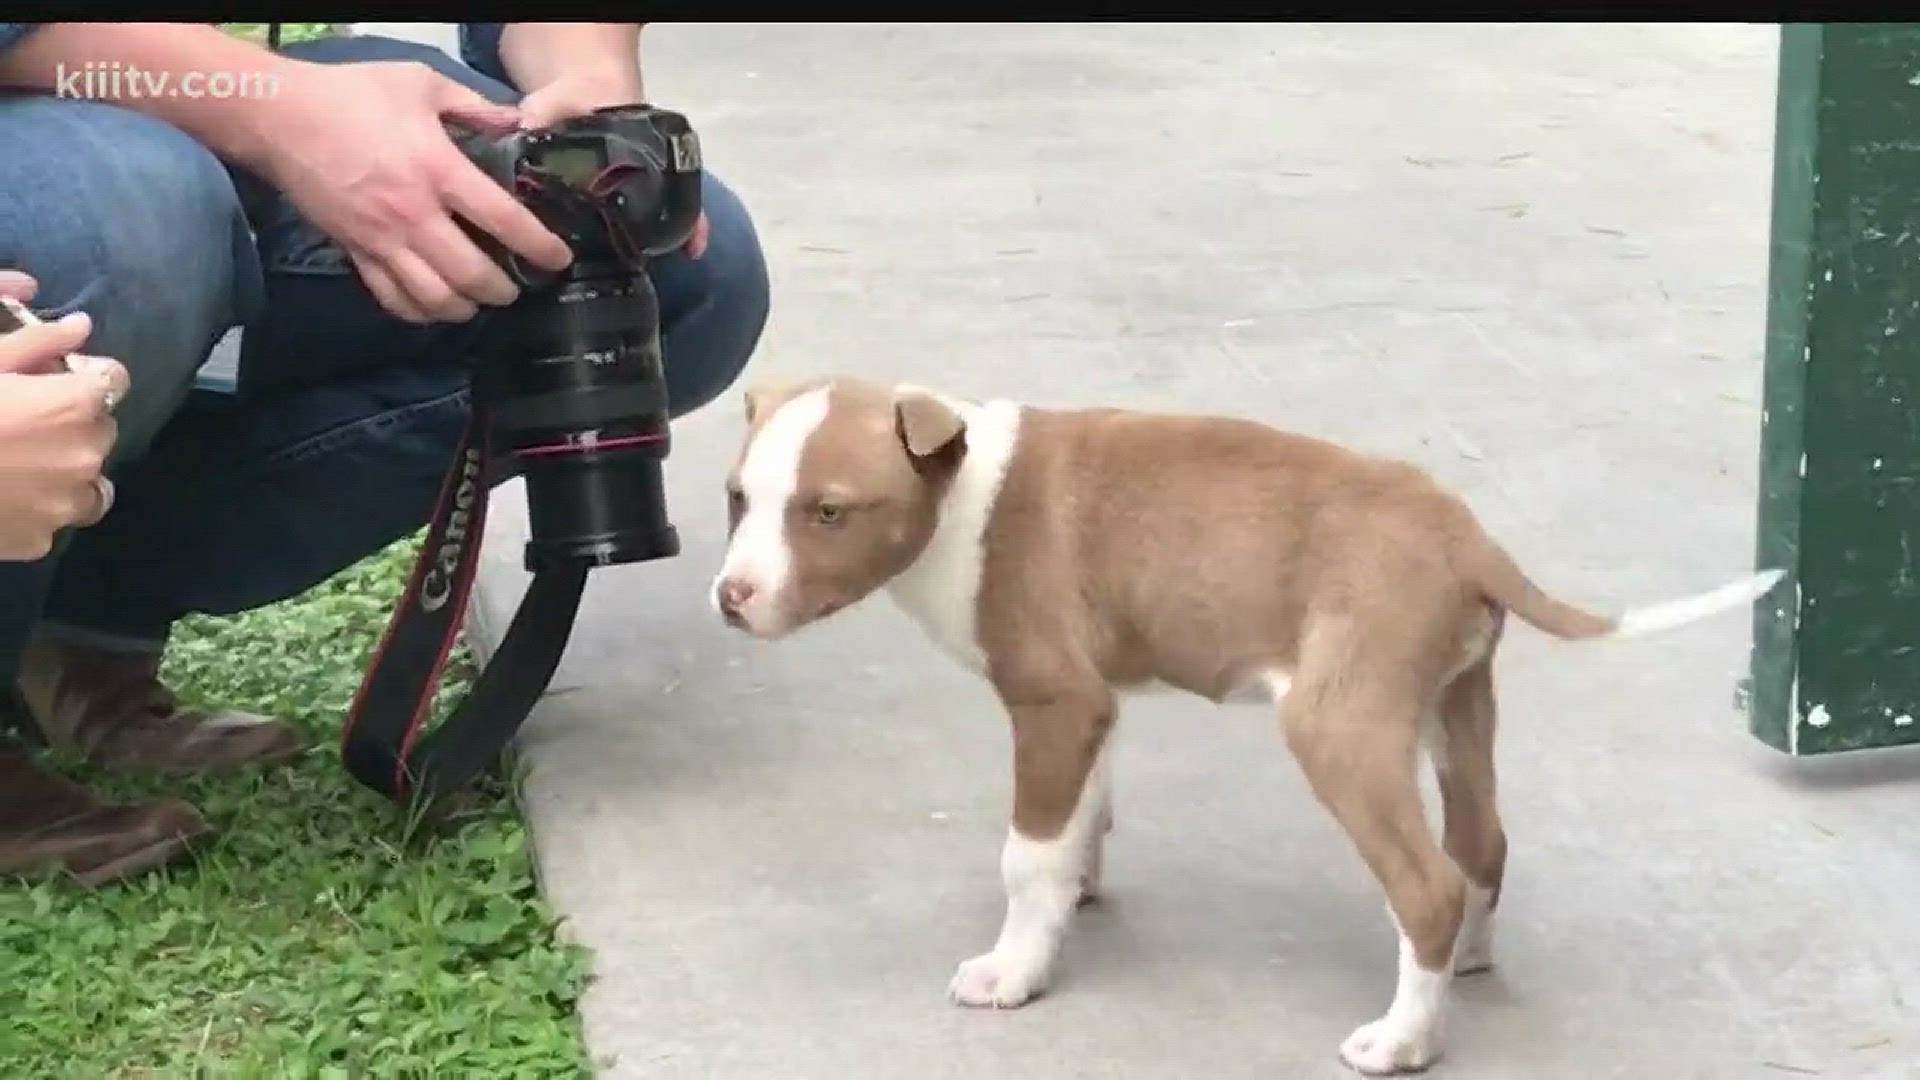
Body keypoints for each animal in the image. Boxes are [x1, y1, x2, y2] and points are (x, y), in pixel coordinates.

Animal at [710, 374, 1781, 1068]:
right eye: (735, 499)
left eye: (829, 512)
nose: (730, 597)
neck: (967, 491)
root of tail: (1466, 537)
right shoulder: (1093, 704)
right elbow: (1081, 821)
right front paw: (1071, 903)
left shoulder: (1053, 700)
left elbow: (1026, 852)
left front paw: (1014, 968)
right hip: (1456, 702)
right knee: (1480, 842)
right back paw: (1460, 968)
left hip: (1340, 724)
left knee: (1426, 882)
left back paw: (1403, 1039)